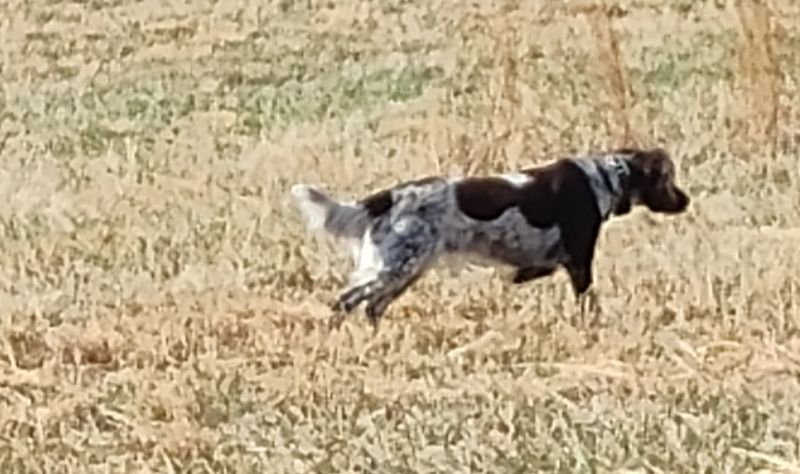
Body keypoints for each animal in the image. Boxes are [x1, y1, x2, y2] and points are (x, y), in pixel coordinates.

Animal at [291, 147, 690, 330]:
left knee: (371, 306)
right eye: (668, 179)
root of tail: (388, 196)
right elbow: (586, 300)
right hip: (396, 266)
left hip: (407, 268)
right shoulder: (579, 260)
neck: (602, 179)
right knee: (346, 299)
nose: (686, 200)